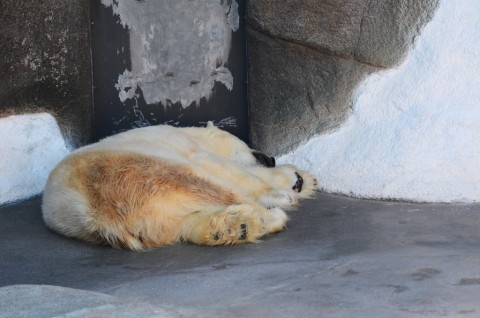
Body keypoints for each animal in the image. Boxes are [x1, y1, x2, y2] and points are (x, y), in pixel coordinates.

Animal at [42, 123, 318, 250]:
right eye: (247, 144)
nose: (269, 157)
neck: (188, 132)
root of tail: (99, 213)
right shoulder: (187, 147)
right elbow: (228, 170)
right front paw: (289, 186)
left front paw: (303, 180)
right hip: (141, 171)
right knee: (207, 186)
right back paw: (269, 216)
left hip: (148, 213)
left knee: (182, 224)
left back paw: (239, 226)